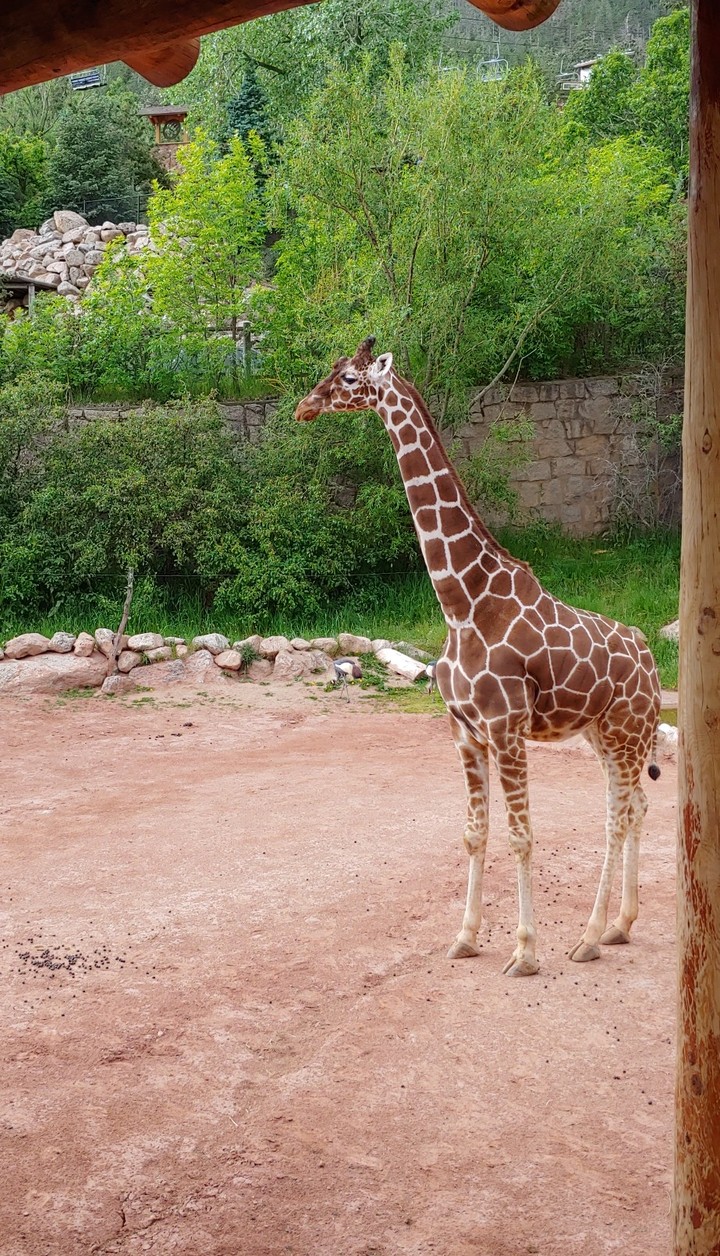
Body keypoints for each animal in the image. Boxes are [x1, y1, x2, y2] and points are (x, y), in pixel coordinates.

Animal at [296, 337, 662, 976]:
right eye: (334, 373)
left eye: (349, 378)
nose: (304, 407)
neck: (462, 602)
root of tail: (651, 657)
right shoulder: (463, 730)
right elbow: (474, 833)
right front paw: (465, 938)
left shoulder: (507, 728)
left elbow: (521, 835)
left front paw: (526, 952)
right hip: (604, 736)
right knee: (634, 807)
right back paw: (618, 926)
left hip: (626, 732)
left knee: (618, 816)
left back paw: (588, 938)